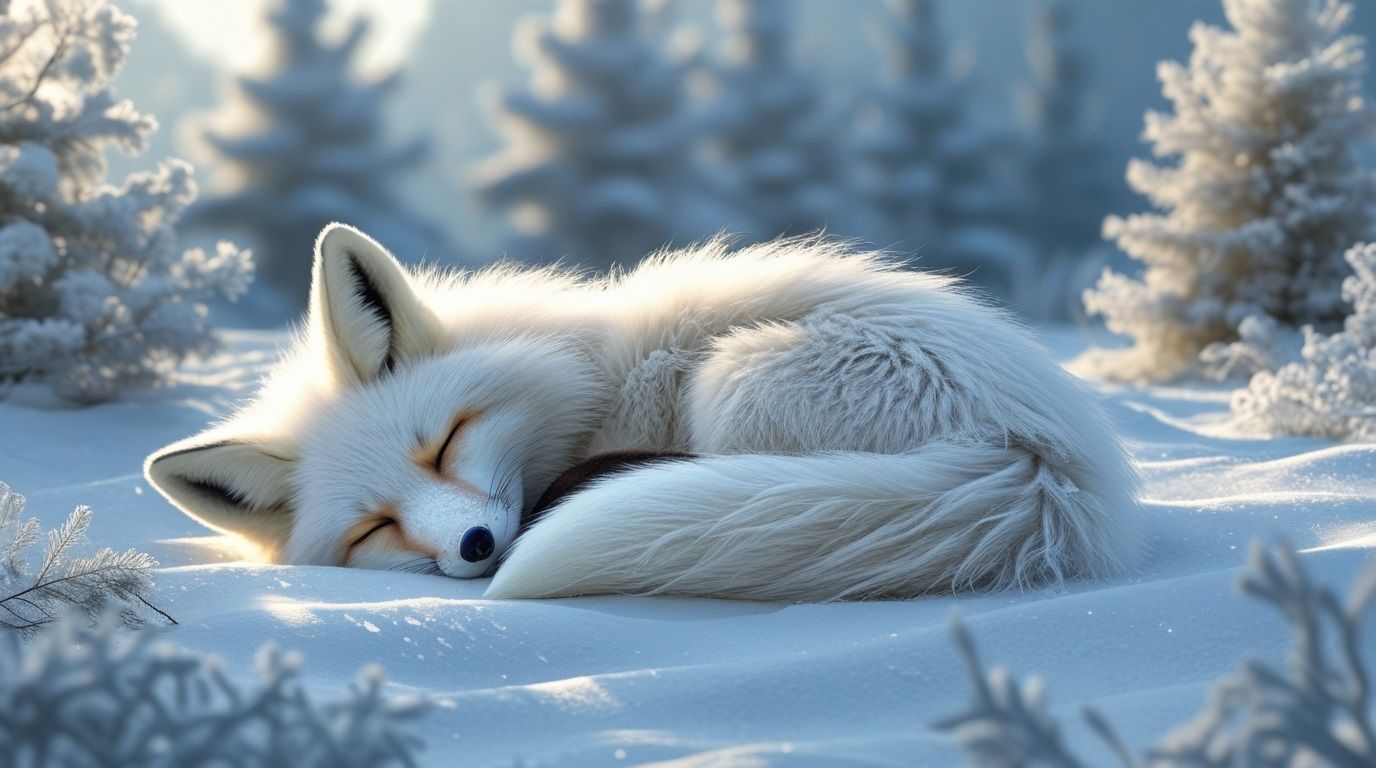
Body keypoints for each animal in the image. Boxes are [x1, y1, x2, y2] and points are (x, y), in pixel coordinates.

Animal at [145, 223, 1143, 601]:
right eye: (373, 528)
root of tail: (1059, 472)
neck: (591, 378)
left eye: (447, 442)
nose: (476, 545)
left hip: (734, 378)